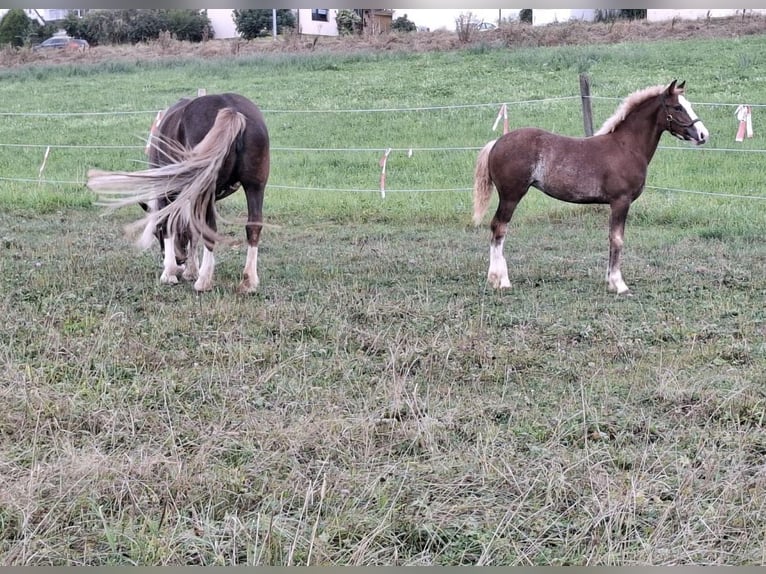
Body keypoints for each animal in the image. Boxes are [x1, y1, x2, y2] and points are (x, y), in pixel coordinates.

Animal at [88, 94, 270, 294]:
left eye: (156, 232)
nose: (179, 260)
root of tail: (232, 110)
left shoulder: (166, 193)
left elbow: (168, 224)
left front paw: (169, 273)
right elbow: (191, 229)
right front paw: (191, 270)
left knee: (211, 229)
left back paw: (204, 281)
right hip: (255, 186)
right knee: (253, 226)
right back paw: (248, 281)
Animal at [476, 80, 712, 296]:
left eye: (688, 104)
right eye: (678, 107)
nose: (703, 135)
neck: (626, 147)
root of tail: (497, 142)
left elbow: (611, 238)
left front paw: (610, 281)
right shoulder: (620, 201)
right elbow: (617, 239)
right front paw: (619, 285)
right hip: (511, 196)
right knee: (499, 228)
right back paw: (501, 280)